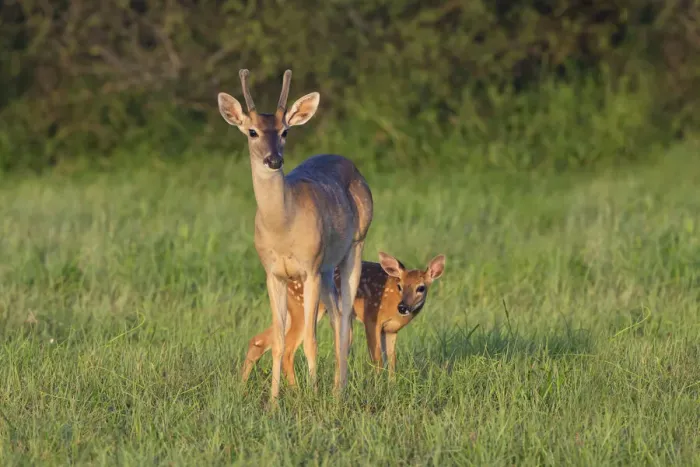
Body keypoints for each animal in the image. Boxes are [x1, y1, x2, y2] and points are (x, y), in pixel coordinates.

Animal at [217, 69, 373, 404]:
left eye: (285, 131)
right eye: (252, 131)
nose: (274, 160)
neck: (283, 228)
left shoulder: (309, 268)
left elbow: (312, 340)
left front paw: (312, 397)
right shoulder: (273, 273)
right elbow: (278, 339)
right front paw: (275, 401)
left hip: (355, 245)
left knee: (343, 318)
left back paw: (339, 391)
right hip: (327, 268)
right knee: (337, 315)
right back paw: (336, 387)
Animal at [241, 252, 446, 384]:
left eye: (421, 288)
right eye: (400, 285)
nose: (403, 307)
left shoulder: (391, 330)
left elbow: (392, 359)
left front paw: (392, 385)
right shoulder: (372, 318)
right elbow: (377, 358)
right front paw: (379, 386)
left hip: (292, 311)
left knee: (259, 340)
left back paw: (242, 387)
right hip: (304, 308)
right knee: (288, 349)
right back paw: (295, 391)